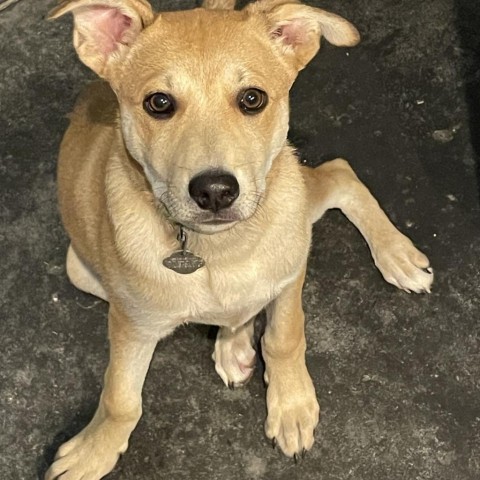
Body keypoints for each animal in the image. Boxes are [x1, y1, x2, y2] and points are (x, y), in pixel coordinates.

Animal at [47, 0, 434, 478]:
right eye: (159, 103)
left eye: (252, 99)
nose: (215, 191)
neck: (221, 250)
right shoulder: (130, 322)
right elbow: (121, 398)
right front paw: (94, 450)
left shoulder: (290, 274)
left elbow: (284, 338)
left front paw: (291, 405)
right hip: (79, 269)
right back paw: (233, 344)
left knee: (341, 173)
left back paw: (396, 255)